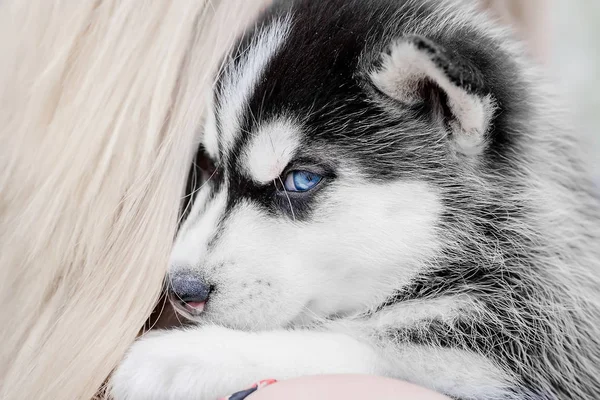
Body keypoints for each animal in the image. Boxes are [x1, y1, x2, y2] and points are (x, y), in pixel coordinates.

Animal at [110, 0, 600, 400]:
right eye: (209, 165)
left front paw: (187, 356)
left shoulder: (518, 351)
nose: (182, 289)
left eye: (301, 180)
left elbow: (361, 346)